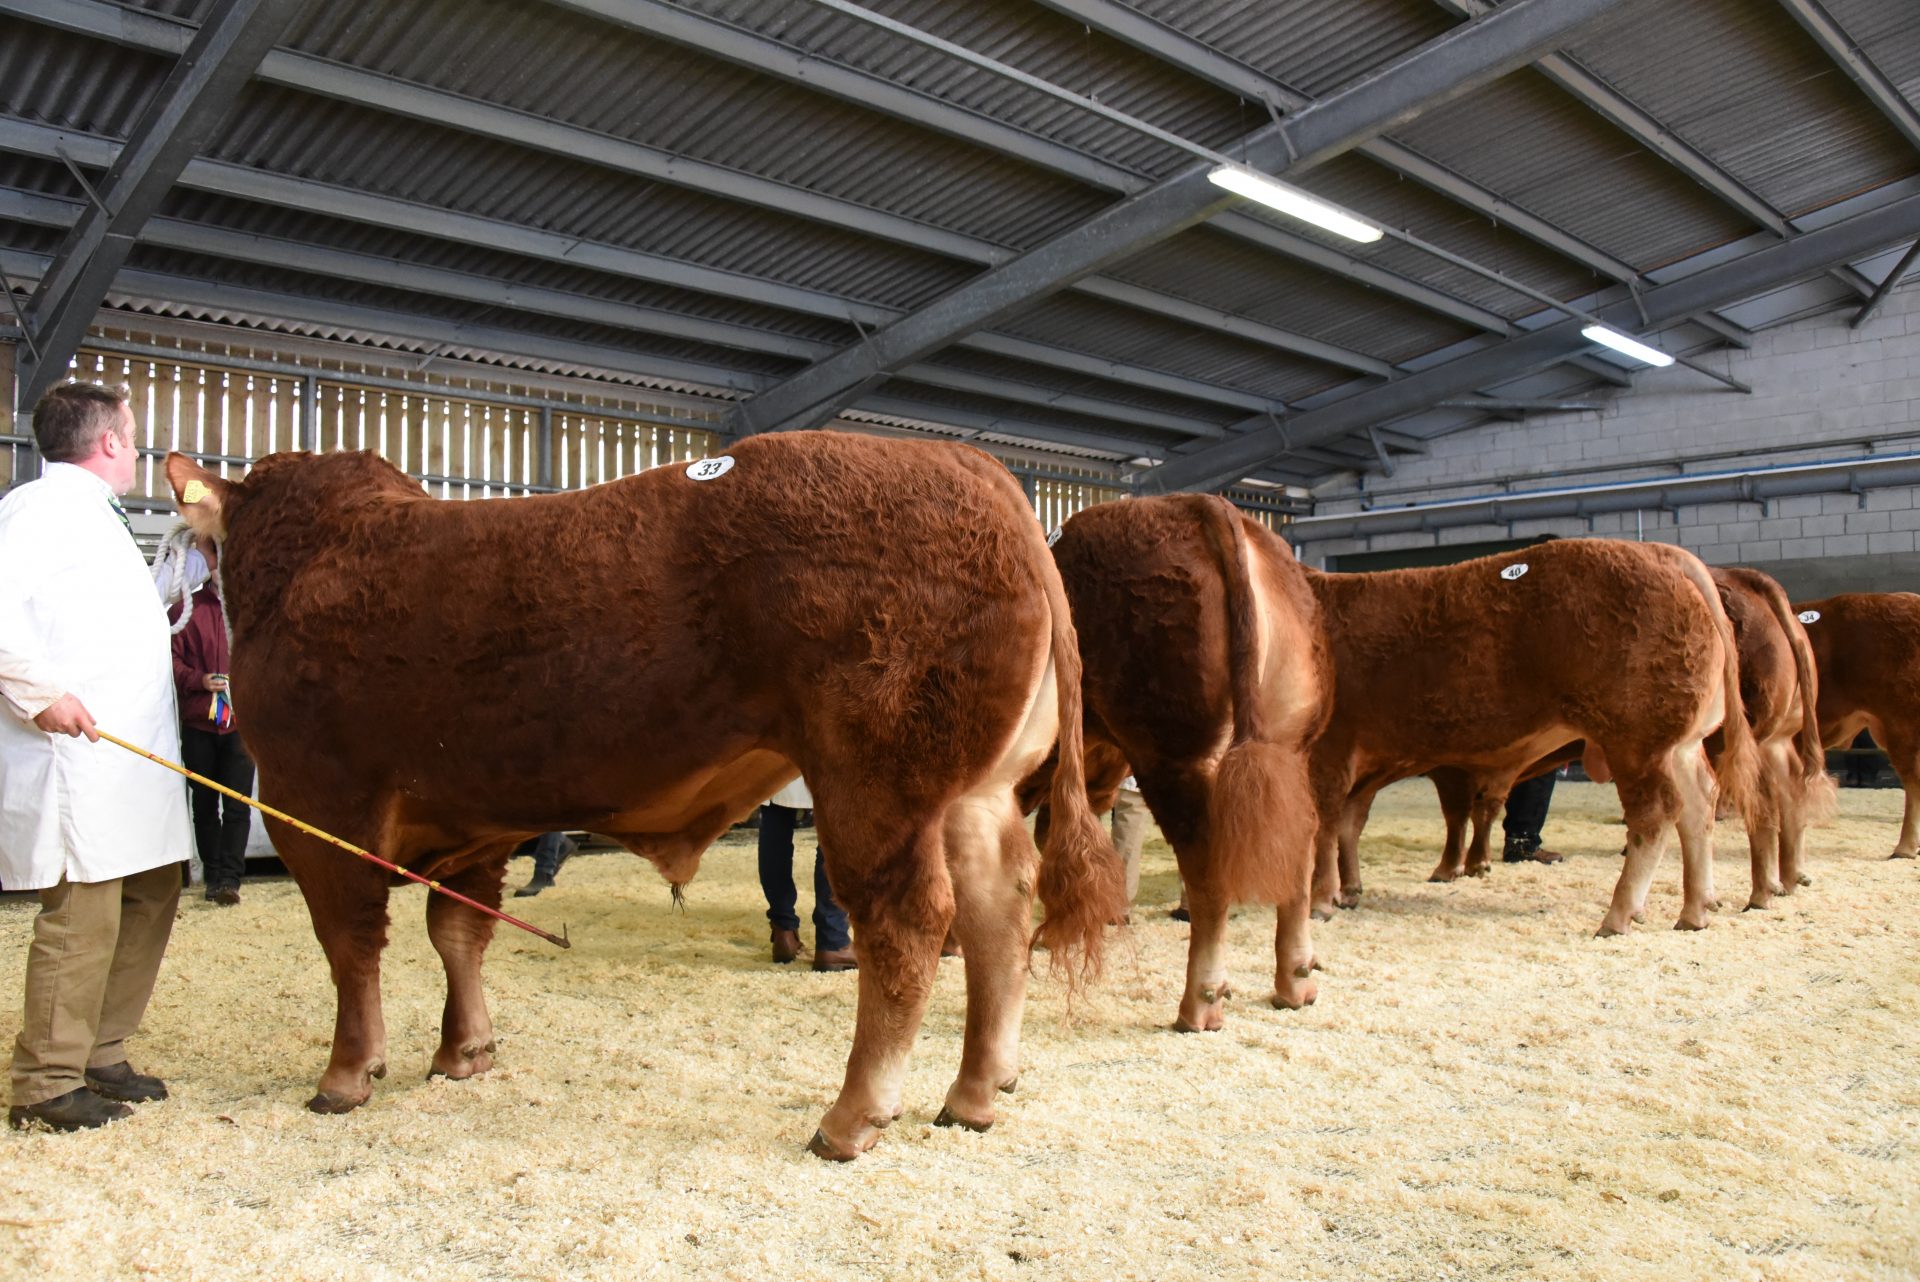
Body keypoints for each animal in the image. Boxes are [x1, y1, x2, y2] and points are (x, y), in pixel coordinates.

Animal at [168, 433, 1121, 1159]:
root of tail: (974, 467)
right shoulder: (475, 815)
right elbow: (458, 931)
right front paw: (463, 1050)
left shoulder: (316, 804)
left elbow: (350, 944)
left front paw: (346, 1073)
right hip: (974, 793)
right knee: (1000, 913)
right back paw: (974, 1092)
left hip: (877, 781)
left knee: (910, 923)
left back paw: (851, 1118)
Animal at [1029, 498, 1328, 1028]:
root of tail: (1203, 506)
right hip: (1288, 747)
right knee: (1296, 845)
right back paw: (1296, 983)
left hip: (1174, 757)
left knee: (1208, 874)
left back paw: (1200, 1004)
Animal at [1305, 537, 1758, 936]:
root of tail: (1661, 553)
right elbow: (1346, 825)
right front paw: (1347, 891)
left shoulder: (1330, 751)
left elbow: (1324, 827)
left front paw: (1320, 901)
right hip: (1679, 745)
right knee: (1698, 806)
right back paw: (1696, 910)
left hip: (1637, 740)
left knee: (1656, 812)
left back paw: (1619, 916)